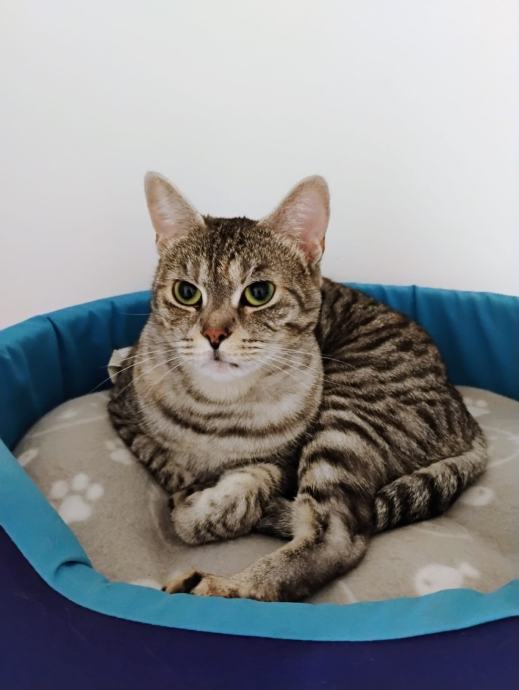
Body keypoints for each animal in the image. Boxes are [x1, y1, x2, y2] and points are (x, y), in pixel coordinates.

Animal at [108, 172, 487, 602]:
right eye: (186, 292)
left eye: (259, 293)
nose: (214, 334)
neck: (219, 409)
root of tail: (468, 419)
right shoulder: (123, 410)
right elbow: (173, 467)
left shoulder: (287, 461)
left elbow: (240, 493)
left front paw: (201, 506)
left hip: (349, 416)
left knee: (341, 534)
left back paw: (219, 586)